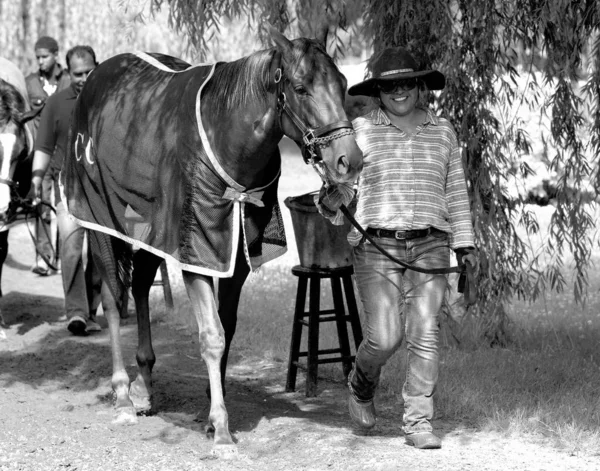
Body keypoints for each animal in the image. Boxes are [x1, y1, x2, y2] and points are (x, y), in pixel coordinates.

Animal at [62, 27, 360, 456]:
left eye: (343, 83)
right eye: (301, 88)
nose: (348, 160)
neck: (228, 137)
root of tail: (97, 79)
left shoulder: (237, 255)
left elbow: (228, 326)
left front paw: (209, 407)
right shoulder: (196, 252)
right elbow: (212, 335)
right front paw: (220, 428)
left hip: (151, 229)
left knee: (139, 286)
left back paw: (145, 387)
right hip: (101, 220)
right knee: (114, 298)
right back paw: (121, 394)